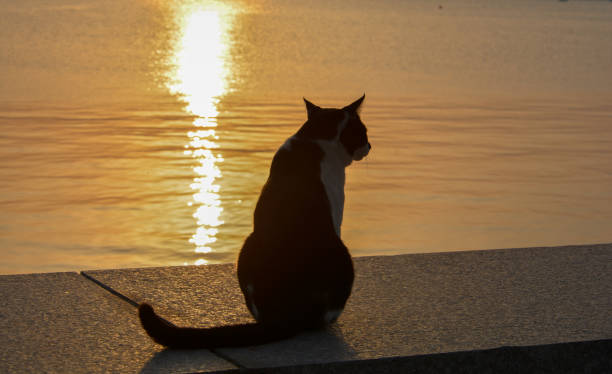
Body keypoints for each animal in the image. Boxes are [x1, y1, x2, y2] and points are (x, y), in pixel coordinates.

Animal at [139, 95, 370, 350]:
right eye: (363, 132)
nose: (370, 146)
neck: (313, 138)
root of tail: (283, 316)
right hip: (342, 255)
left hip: (246, 246)